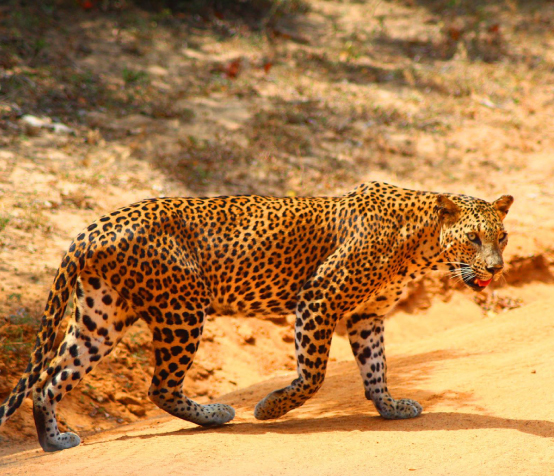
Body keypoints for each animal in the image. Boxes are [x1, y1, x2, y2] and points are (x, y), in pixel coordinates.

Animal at [0, 181, 508, 450]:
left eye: (501, 237)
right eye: (474, 238)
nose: (497, 268)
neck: (423, 245)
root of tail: (91, 228)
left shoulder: (366, 316)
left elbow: (376, 368)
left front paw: (390, 407)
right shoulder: (319, 299)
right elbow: (313, 376)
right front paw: (270, 408)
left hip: (101, 318)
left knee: (50, 380)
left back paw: (53, 441)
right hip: (181, 310)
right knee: (159, 385)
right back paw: (216, 414)